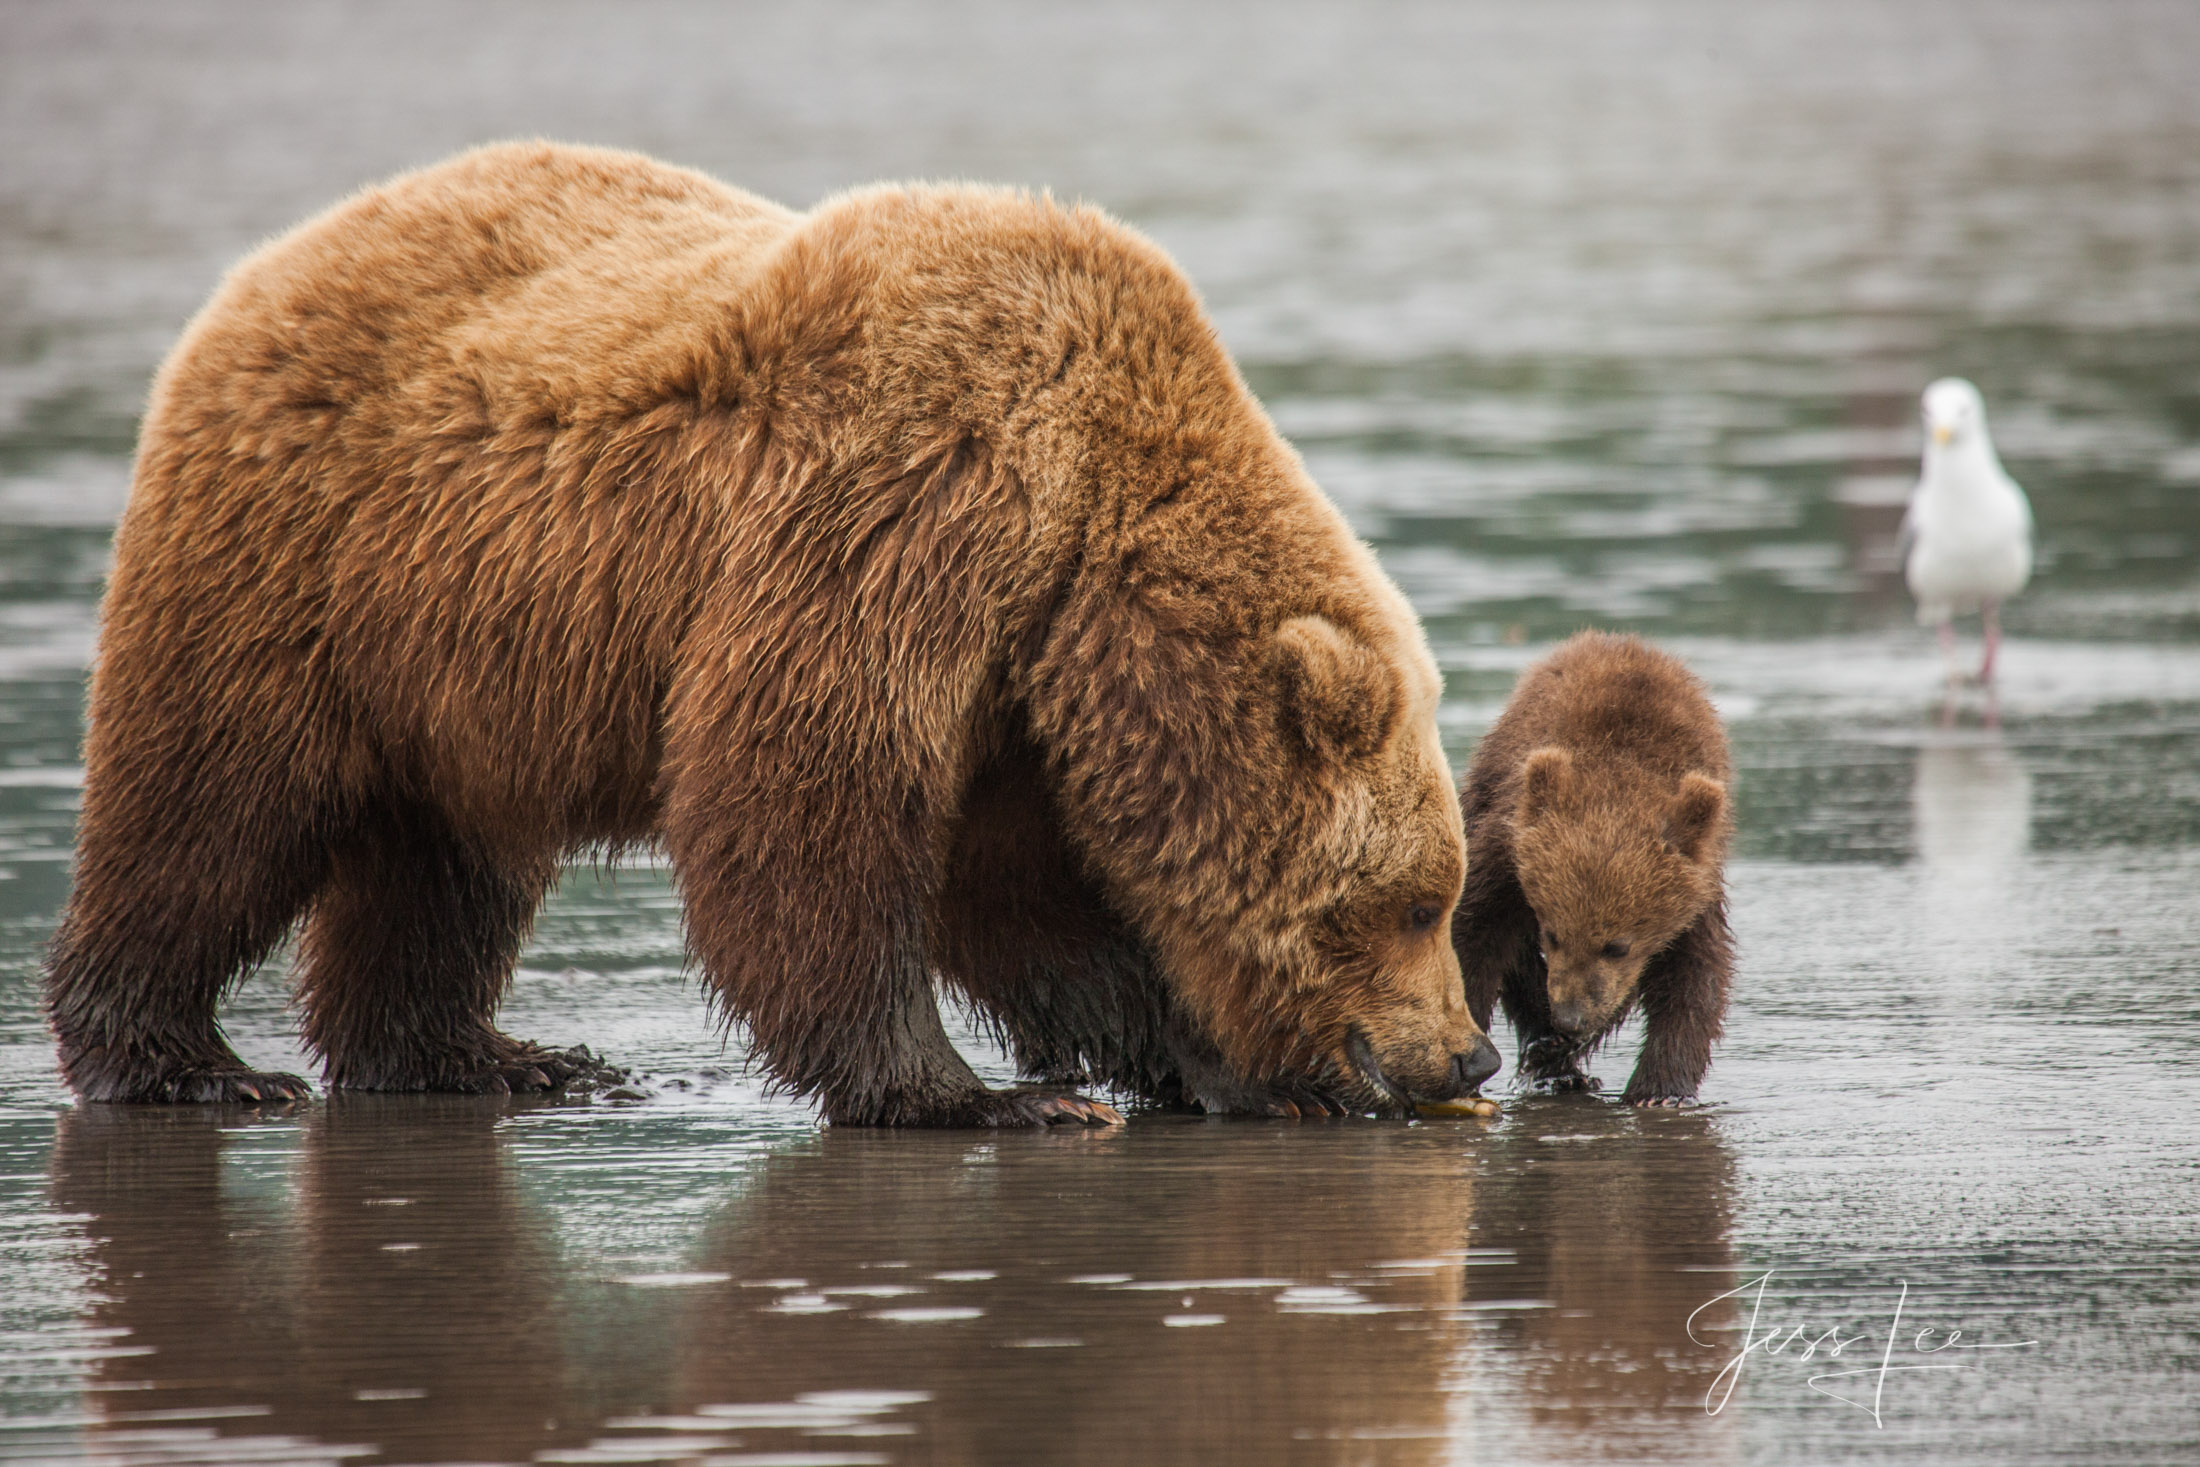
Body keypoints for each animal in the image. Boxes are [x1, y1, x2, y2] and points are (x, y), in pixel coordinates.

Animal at [47, 142, 1496, 1126]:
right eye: (1411, 902)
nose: (1467, 1051)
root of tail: (276, 261)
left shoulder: (1012, 686)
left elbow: (1025, 895)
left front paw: (1239, 1070)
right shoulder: (905, 518)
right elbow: (806, 807)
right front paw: (987, 1094)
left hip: (459, 658)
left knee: (449, 864)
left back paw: (502, 1057)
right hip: (296, 566)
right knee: (209, 810)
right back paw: (190, 1062)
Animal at [1452, 633, 1742, 1099]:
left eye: (1617, 945)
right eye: (1553, 934)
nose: (1569, 1017)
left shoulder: (1697, 885)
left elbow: (1696, 977)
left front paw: (1659, 1089)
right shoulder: (1508, 849)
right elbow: (1474, 937)